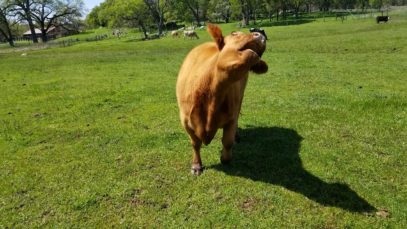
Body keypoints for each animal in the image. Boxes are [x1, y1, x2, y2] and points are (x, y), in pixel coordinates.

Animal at [175, 24, 268, 174]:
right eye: (234, 34)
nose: (259, 33)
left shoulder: (231, 117)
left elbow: (227, 142)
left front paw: (225, 159)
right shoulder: (185, 121)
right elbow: (195, 143)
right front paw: (196, 166)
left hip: (241, 97)